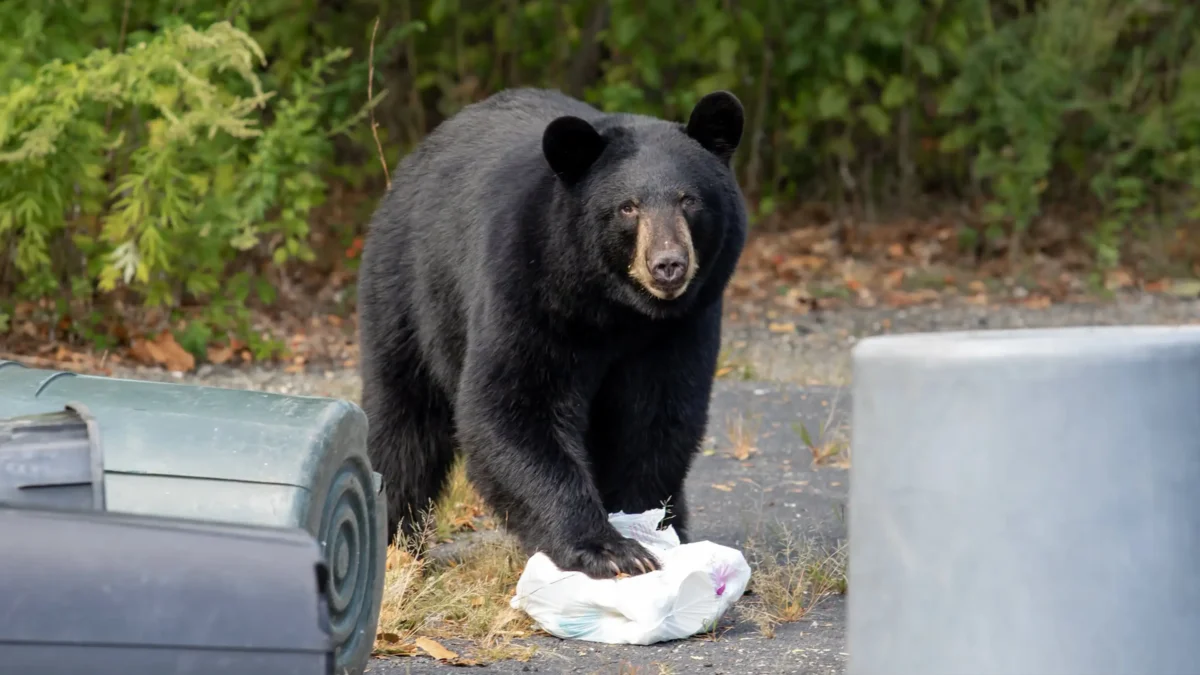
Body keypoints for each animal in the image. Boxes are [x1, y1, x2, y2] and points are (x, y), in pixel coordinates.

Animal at [357, 87, 747, 579]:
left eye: (689, 200)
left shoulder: (682, 326)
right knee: (403, 421)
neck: (616, 308)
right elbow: (513, 406)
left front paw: (645, 526)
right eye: (628, 206)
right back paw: (396, 543)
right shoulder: (528, 288)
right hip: (410, 291)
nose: (668, 265)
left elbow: (656, 418)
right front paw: (611, 549)